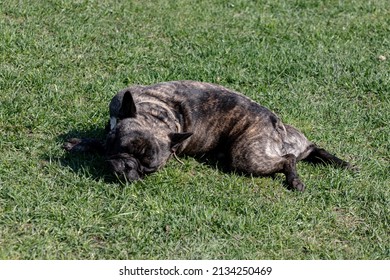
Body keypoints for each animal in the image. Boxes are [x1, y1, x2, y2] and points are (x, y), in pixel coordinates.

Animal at [64, 80, 354, 191]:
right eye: (122, 147)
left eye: (150, 169)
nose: (128, 168)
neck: (157, 114)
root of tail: (277, 125)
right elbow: (102, 138)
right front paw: (81, 143)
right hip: (293, 140)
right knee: (310, 148)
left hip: (246, 155)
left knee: (288, 159)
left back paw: (294, 180)